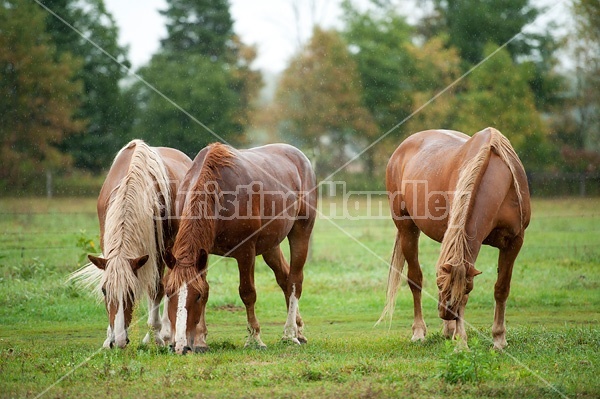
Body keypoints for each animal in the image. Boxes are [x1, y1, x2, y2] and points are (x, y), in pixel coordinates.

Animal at [67, 139, 191, 348]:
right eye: (104, 291)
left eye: (132, 292)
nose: (118, 342)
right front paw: (108, 337)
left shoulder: (156, 253)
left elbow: (156, 289)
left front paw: (155, 337)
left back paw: (168, 334)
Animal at [162, 142, 316, 354]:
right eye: (169, 293)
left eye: (196, 297)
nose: (179, 346)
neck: (218, 193)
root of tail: (300, 157)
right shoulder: (204, 252)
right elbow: (207, 287)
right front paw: (201, 340)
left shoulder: (246, 252)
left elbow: (247, 293)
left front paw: (255, 338)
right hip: (271, 245)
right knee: (284, 278)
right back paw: (299, 331)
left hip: (301, 232)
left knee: (294, 281)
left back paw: (290, 333)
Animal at [378, 128, 532, 350]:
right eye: (439, 285)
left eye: (468, 288)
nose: (446, 313)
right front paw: (461, 341)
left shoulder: (514, 241)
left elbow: (501, 288)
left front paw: (498, 339)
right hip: (407, 229)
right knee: (415, 279)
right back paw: (419, 332)